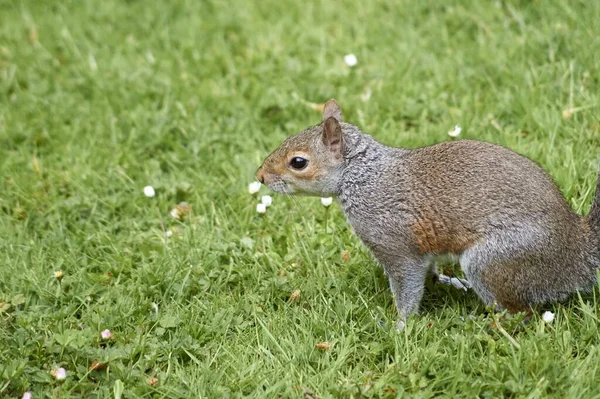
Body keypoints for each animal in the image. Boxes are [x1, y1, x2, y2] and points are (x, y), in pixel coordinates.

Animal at [254, 100, 600, 332]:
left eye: (298, 162)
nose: (260, 176)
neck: (363, 177)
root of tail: (577, 255)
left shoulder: (396, 246)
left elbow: (407, 287)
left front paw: (399, 326)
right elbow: (429, 270)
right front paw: (443, 281)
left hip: (495, 261)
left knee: (521, 313)